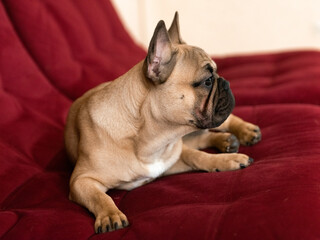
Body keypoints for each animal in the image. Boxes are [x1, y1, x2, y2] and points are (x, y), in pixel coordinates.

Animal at [64, 12, 260, 233]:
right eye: (208, 81)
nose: (225, 82)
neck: (154, 137)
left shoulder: (172, 158)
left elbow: (199, 156)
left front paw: (227, 160)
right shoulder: (81, 181)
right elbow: (100, 197)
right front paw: (109, 214)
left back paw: (244, 131)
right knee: (200, 139)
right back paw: (226, 141)